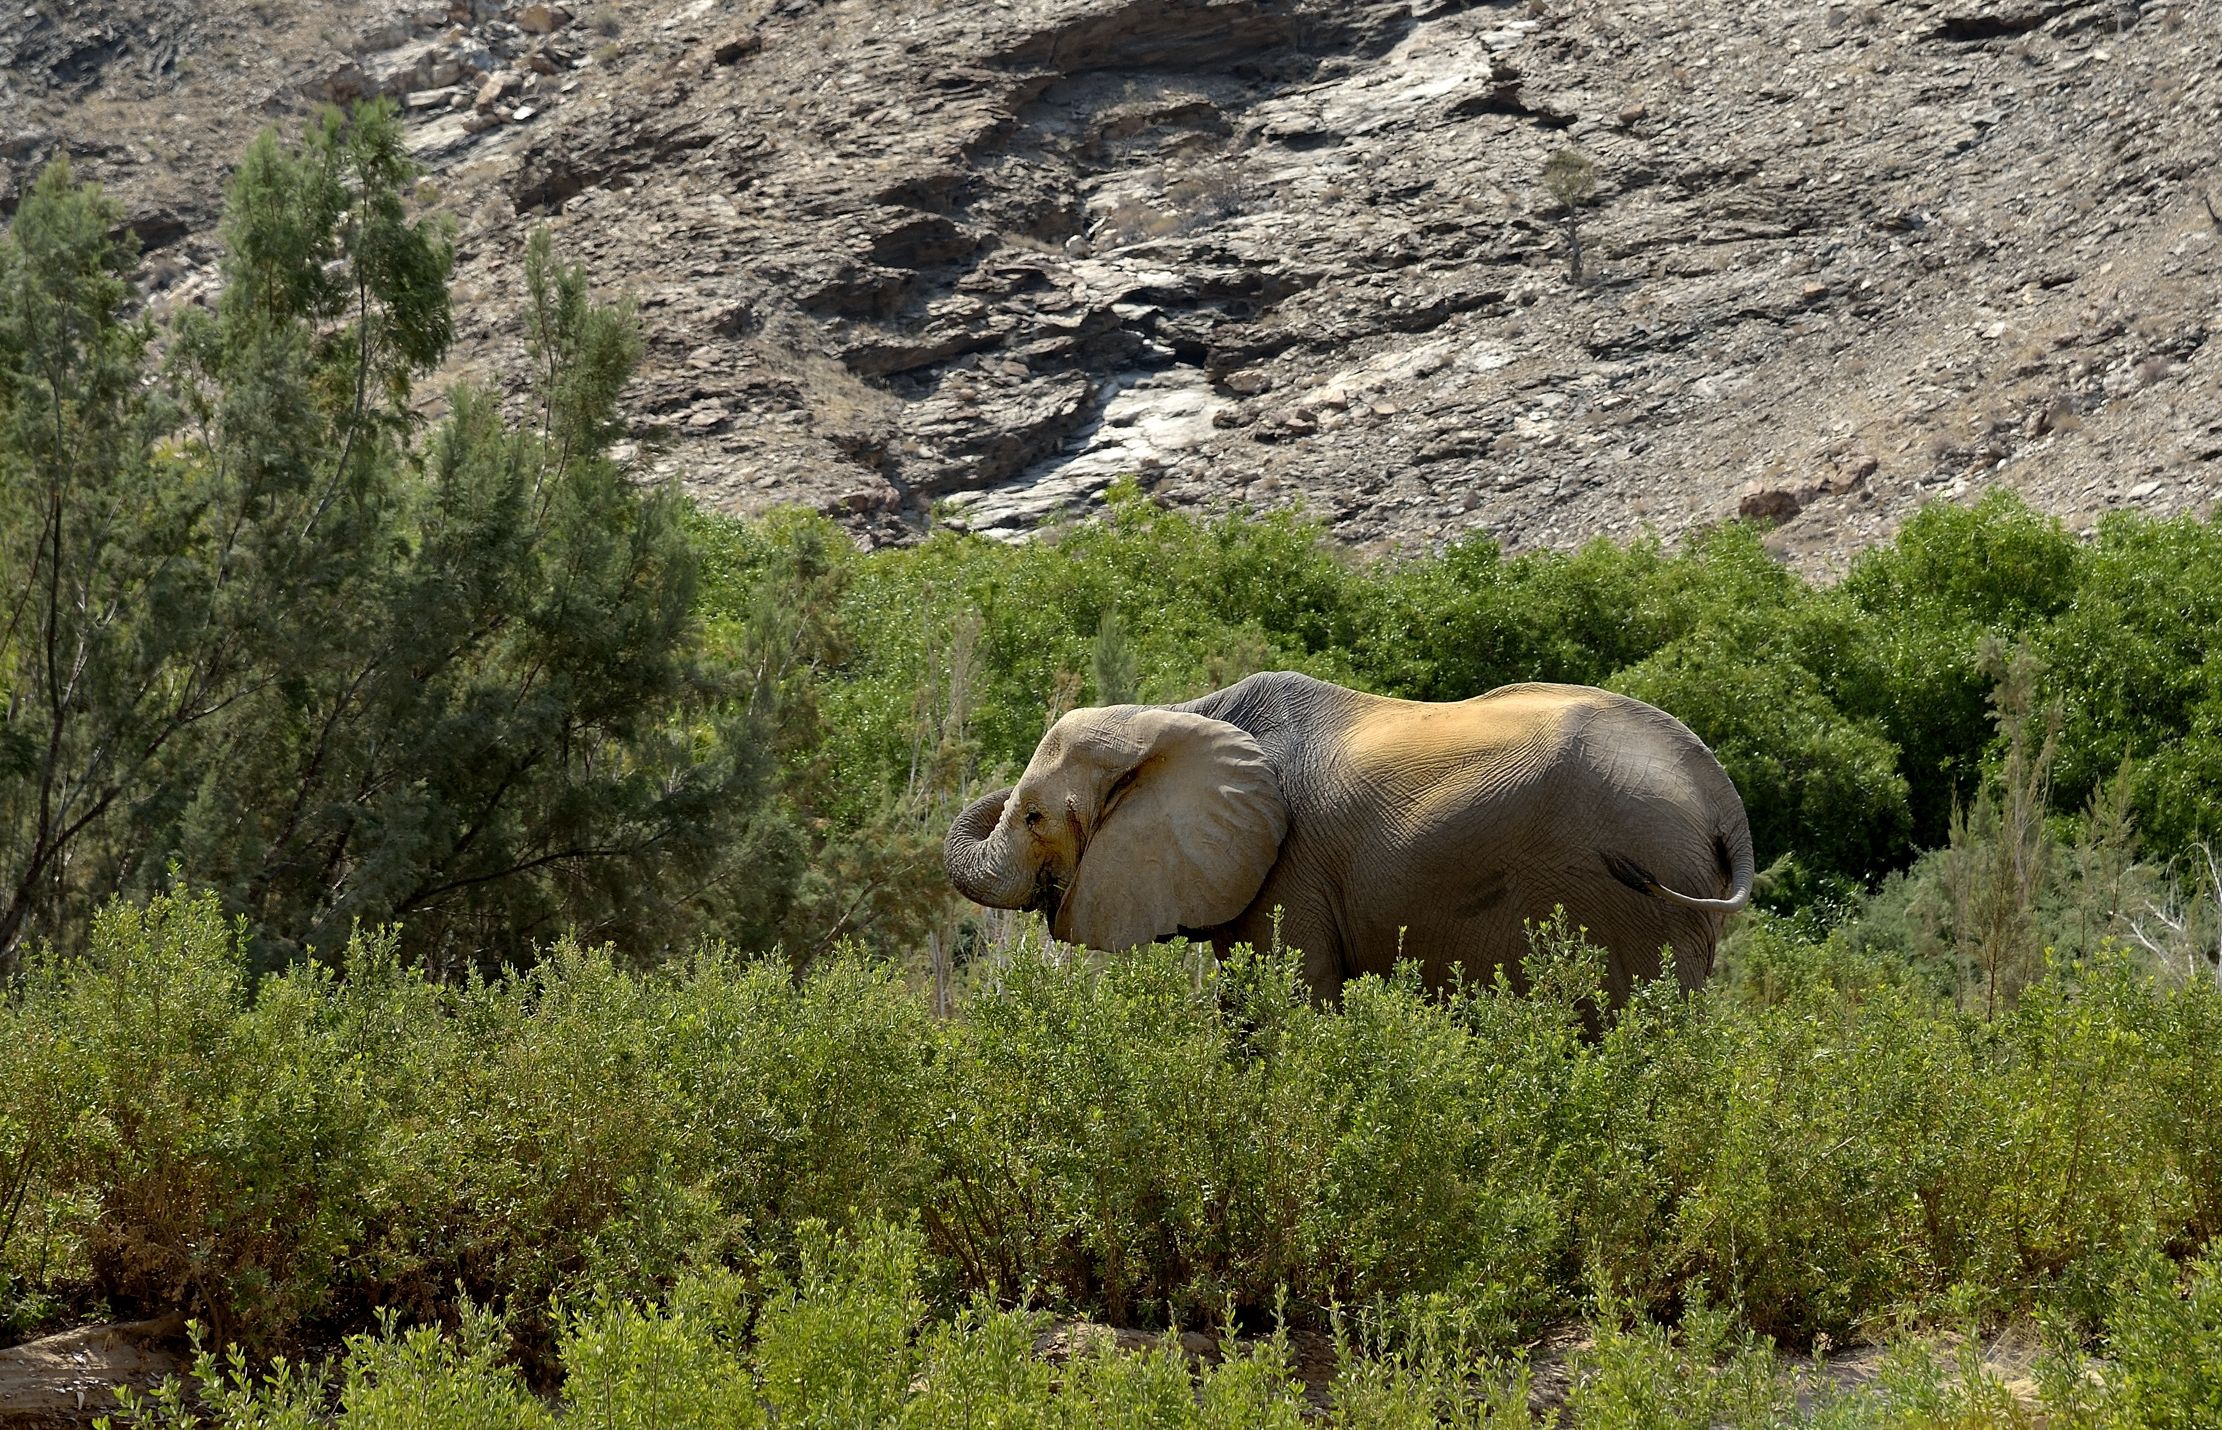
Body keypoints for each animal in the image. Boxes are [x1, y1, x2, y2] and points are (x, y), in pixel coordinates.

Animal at [943, 671, 1753, 1004]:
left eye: (1035, 818)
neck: (1182, 712)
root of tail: (1723, 802)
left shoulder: (1290, 870)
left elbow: (1281, 1003)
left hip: (1637, 898)